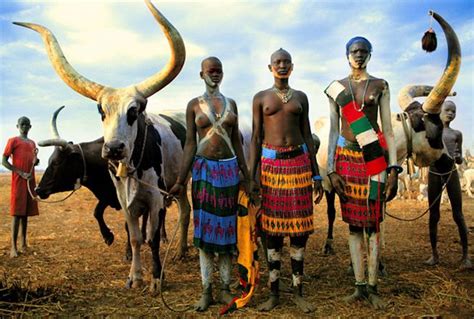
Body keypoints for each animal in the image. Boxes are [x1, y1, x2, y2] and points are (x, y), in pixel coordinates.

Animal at [14, 0, 189, 292]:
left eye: (134, 111)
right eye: (101, 111)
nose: (114, 149)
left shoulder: (154, 198)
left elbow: (151, 238)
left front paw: (156, 277)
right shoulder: (122, 199)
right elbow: (134, 237)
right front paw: (134, 275)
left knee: (184, 214)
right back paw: (181, 250)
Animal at [316, 11, 462, 256]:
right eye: (437, 129)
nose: (448, 161)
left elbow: (379, 221)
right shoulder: (331, 183)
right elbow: (336, 214)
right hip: (327, 182)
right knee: (331, 211)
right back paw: (328, 243)